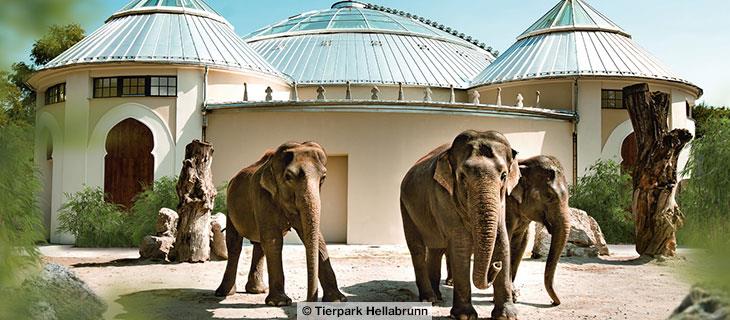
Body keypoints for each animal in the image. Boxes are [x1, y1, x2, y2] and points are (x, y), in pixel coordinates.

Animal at [213, 142, 346, 304]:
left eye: (323, 178)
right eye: (288, 177)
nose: (309, 301)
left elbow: (315, 238)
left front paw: (338, 300)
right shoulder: (261, 194)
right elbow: (273, 240)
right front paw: (280, 302)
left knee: (259, 244)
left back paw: (257, 290)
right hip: (230, 208)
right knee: (235, 244)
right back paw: (224, 293)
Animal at [398, 130, 524, 320]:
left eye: (503, 175)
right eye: (462, 177)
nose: (496, 265)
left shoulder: (503, 201)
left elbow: (502, 241)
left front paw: (507, 315)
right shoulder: (443, 196)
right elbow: (460, 245)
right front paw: (465, 316)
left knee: (436, 250)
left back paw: (437, 297)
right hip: (406, 209)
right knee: (418, 249)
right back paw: (429, 299)